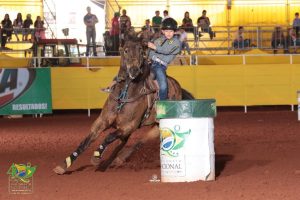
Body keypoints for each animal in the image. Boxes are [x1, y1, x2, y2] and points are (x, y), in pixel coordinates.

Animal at [53, 30, 195, 174]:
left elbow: (109, 137)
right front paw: (63, 165)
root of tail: (178, 87)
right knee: (122, 144)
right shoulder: (102, 121)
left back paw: (119, 159)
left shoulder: (128, 126)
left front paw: (96, 157)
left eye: (141, 50)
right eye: (125, 50)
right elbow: (86, 141)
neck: (125, 93)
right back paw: (111, 161)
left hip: (155, 126)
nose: (134, 70)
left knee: (139, 142)